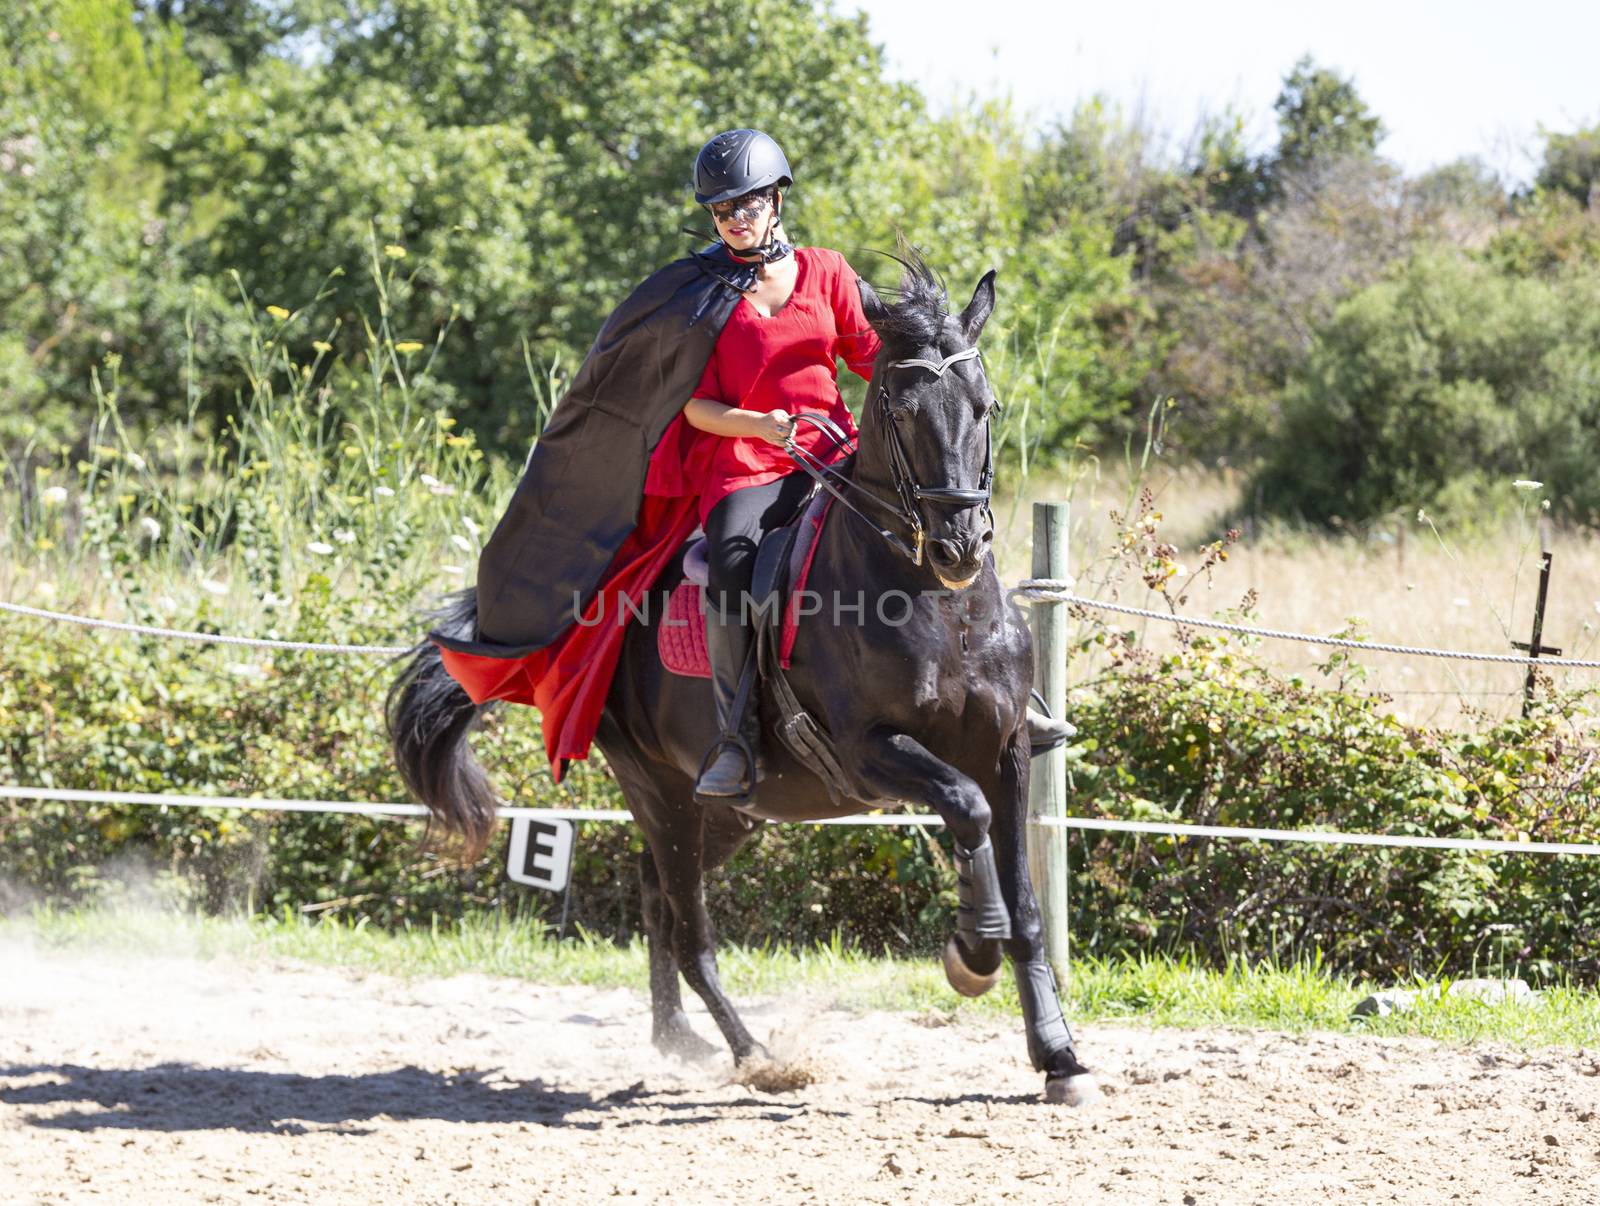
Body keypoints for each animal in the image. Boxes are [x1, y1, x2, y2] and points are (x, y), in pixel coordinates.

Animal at [390, 259, 1100, 1106]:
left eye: (984, 405)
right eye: (899, 409)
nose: (958, 546)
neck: (932, 600)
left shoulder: (1006, 749)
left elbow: (1025, 903)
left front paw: (1058, 1056)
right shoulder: (869, 751)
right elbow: (964, 811)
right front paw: (971, 954)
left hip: (730, 813)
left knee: (660, 896)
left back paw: (678, 1037)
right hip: (661, 788)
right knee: (689, 926)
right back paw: (754, 1055)